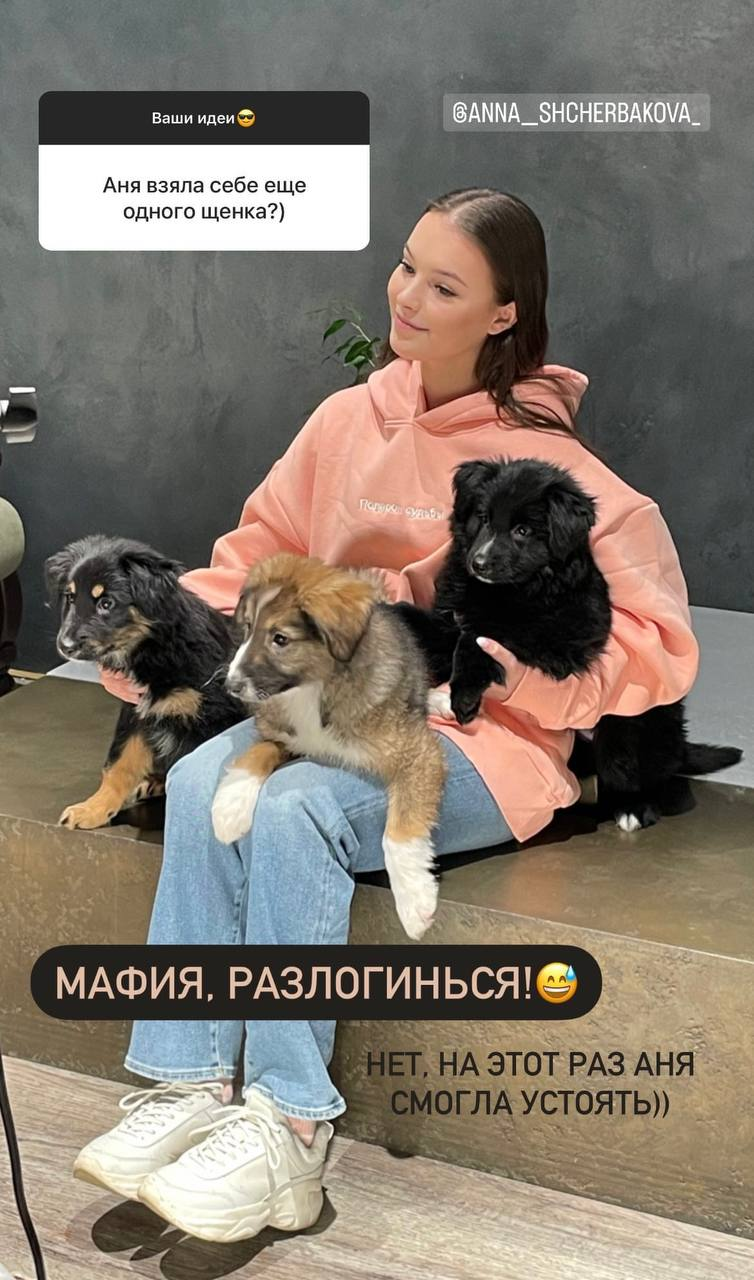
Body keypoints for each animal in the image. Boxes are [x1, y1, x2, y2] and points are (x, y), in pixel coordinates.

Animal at [46, 534, 246, 829]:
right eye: (70, 597)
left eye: (107, 603)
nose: (65, 646)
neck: (156, 647)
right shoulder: (138, 711)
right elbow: (118, 764)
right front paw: (93, 808)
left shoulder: (212, 717)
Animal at [210, 551, 447, 940]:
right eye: (246, 629)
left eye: (280, 639)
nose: (229, 686)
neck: (313, 688)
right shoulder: (284, 734)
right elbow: (257, 752)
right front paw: (230, 806)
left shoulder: (418, 753)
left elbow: (398, 834)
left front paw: (415, 902)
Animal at [395, 457, 742, 831]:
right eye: (483, 518)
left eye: (523, 531)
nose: (479, 563)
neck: (508, 590)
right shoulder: (451, 615)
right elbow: (428, 626)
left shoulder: (559, 636)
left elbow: (478, 637)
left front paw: (462, 696)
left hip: (628, 730)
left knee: (645, 774)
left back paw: (634, 808)